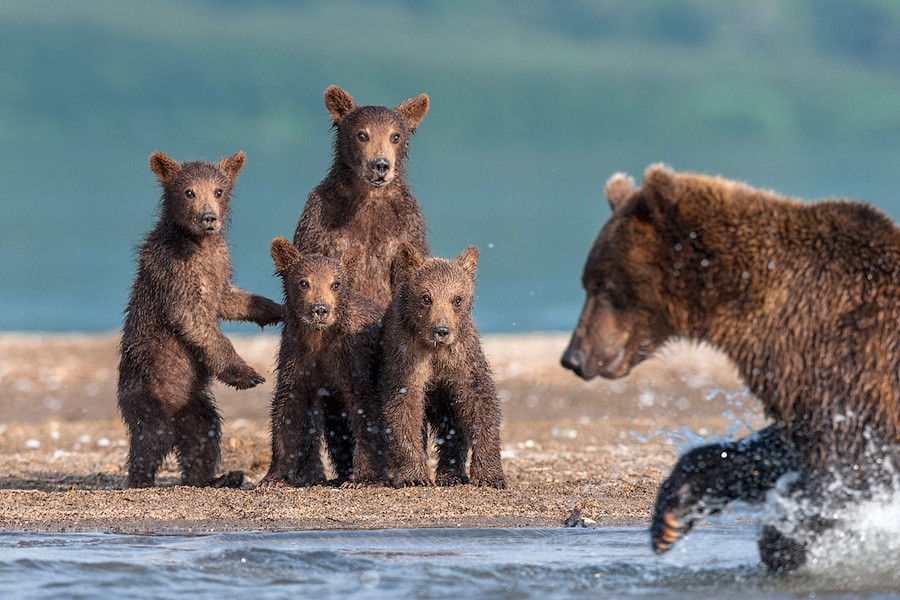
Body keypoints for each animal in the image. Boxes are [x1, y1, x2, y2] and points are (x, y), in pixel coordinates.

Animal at [118, 150, 284, 488]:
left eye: (218, 191)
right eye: (188, 191)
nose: (209, 217)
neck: (197, 243)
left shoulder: (218, 265)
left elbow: (229, 299)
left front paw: (276, 308)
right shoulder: (175, 271)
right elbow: (194, 321)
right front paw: (246, 373)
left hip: (194, 402)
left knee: (203, 434)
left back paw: (215, 476)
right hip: (148, 389)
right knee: (150, 438)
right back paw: (140, 478)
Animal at [260, 239, 386, 488]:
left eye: (335, 284)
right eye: (304, 282)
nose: (320, 309)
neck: (320, 339)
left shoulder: (352, 358)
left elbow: (365, 408)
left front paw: (364, 478)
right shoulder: (297, 358)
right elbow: (288, 409)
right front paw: (274, 477)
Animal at [296, 84, 432, 478]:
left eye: (396, 135)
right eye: (362, 134)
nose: (380, 165)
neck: (367, 200)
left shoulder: (404, 230)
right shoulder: (321, 222)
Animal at [378, 243, 506, 488]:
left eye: (457, 299)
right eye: (426, 297)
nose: (442, 330)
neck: (434, 349)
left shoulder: (463, 358)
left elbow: (480, 402)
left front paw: (491, 476)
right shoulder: (406, 357)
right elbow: (403, 408)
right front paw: (414, 475)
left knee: (453, 425)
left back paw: (451, 475)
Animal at [564, 165, 900, 572]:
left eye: (604, 285)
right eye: (587, 282)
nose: (574, 357)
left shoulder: (846, 355)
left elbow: (852, 462)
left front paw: (783, 541)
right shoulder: (804, 377)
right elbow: (776, 447)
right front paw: (672, 516)